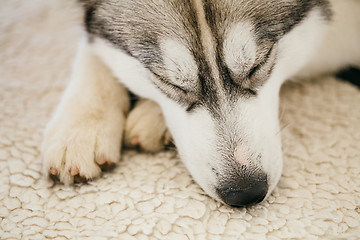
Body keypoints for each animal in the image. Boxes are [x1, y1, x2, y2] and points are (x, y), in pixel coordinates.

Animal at [43, 0, 360, 206]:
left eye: (258, 64)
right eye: (169, 81)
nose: (245, 192)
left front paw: (150, 117)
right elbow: (93, 46)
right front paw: (81, 126)